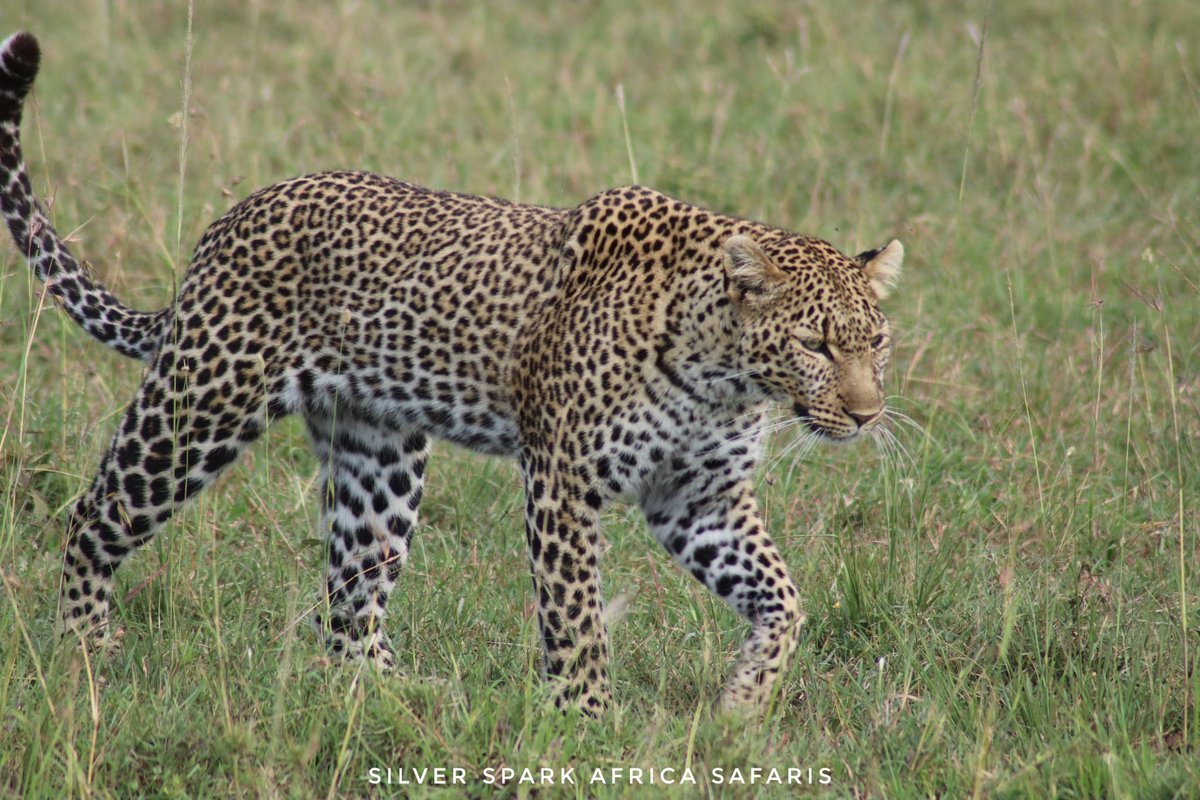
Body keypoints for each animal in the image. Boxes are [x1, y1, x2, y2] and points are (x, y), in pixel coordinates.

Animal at [0, 32, 902, 714]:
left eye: (877, 344)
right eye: (816, 345)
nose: (865, 416)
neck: (723, 379)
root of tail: (228, 224)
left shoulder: (698, 497)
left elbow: (784, 598)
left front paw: (745, 700)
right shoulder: (563, 482)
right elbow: (577, 621)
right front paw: (588, 725)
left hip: (380, 460)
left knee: (349, 606)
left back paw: (404, 699)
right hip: (200, 406)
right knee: (93, 517)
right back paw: (87, 652)